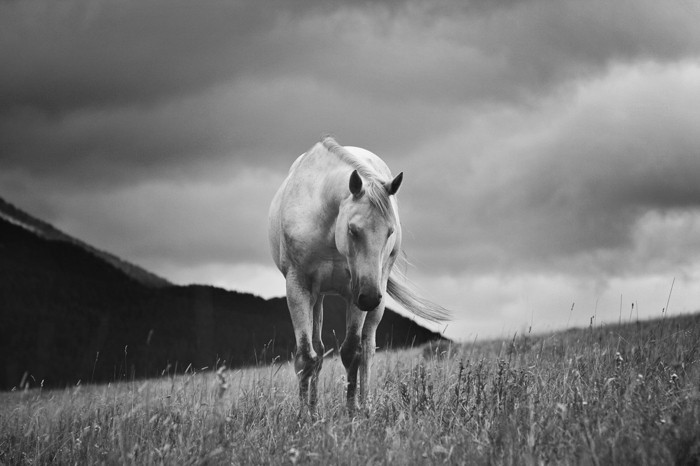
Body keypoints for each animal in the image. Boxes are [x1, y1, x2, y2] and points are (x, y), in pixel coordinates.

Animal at [268, 135, 448, 416]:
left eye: (390, 232)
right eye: (353, 230)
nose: (370, 297)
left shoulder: (356, 291)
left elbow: (352, 352)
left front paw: (353, 413)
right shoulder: (298, 287)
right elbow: (306, 356)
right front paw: (305, 416)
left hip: (373, 298)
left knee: (367, 349)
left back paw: (366, 405)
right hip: (319, 297)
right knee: (318, 351)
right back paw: (315, 407)